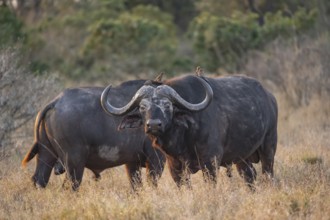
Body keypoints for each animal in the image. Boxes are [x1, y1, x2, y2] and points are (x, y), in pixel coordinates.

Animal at [21, 79, 165, 191]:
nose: (153, 124)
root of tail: (55, 102)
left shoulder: (132, 162)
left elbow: (136, 187)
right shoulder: (156, 159)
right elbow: (152, 184)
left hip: (46, 154)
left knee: (39, 180)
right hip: (74, 163)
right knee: (69, 186)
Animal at [102, 75, 278, 186]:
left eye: (168, 105)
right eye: (142, 107)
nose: (153, 125)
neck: (183, 138)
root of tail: (270, 97)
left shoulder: (210, 162)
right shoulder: (175, 167)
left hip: (269, 148)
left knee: (268, 173)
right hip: (242, 158)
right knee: (249, 176)